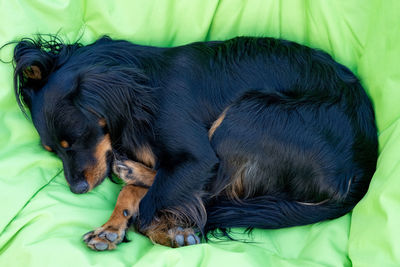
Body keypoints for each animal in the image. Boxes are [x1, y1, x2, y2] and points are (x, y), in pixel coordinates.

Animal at [10, 35, 378, 251]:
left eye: (75, 140)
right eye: (52, 150)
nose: (77, 190)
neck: (139, 89)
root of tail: (365, 168)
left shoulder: (198, 157)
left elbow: (151, 208)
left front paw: (171, 233)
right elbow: (140, 195)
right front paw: (110, 228)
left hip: (246, 115)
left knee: (208, 193)